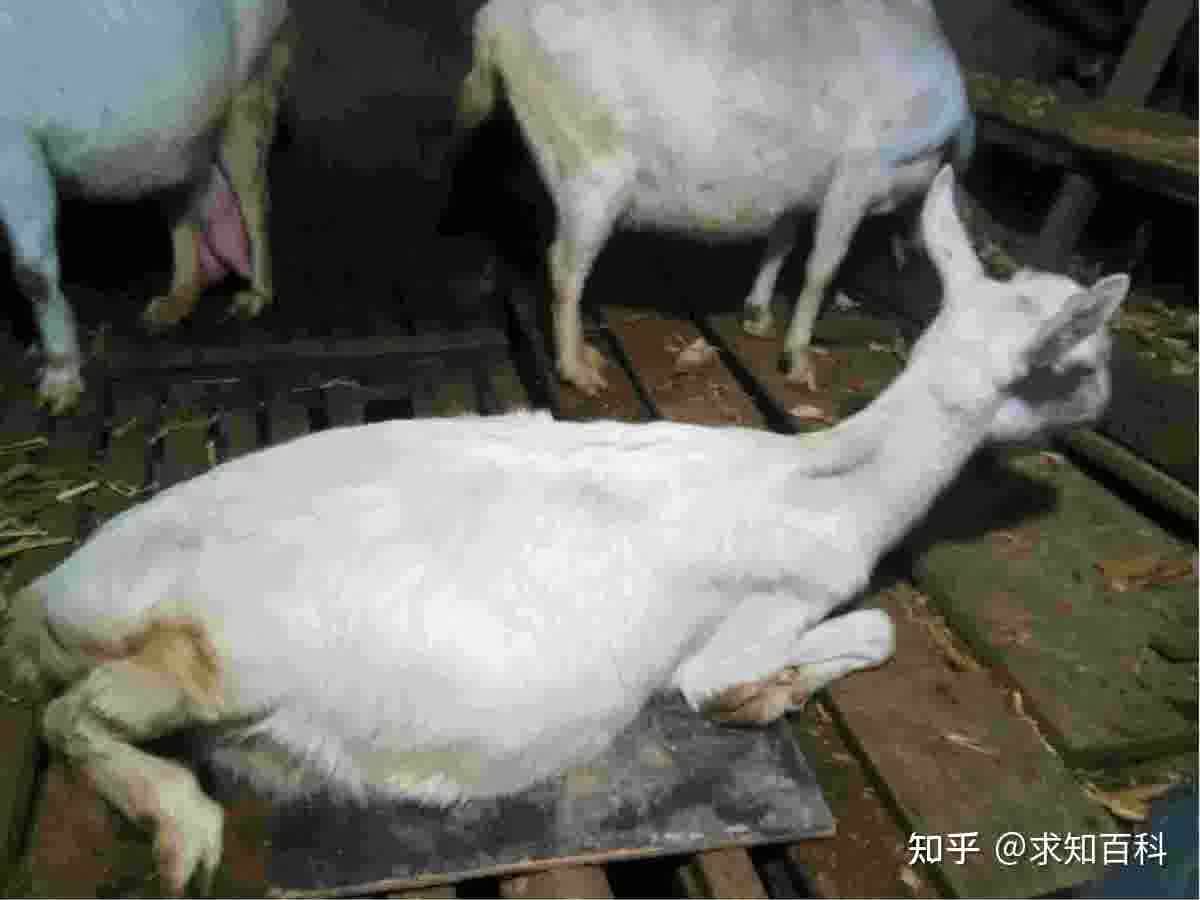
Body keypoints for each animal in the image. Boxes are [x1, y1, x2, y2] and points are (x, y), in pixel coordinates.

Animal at [0, 0, 290, 414]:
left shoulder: (16, 141)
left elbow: (32, 274)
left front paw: (59, 386)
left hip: (254, 78)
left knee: (253, 194)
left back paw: (255, 297)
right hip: (187, 132)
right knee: (188, 192)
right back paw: (171, 304)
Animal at [1, 166, 1127, 897]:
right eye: (1081, 360)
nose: (1102, 411)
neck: (829, 484)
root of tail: (54, 597)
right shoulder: (759, 614)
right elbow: (824, 648)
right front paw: (771, 695)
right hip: (214, 660)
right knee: (75, 715)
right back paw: (183, 833)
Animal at [455, 0, 975, 395]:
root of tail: (495, 17)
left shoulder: (797, 187)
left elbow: (782, 240)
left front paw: (757, 314)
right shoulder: (857, 174)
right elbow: (820, 270)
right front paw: (798, 360)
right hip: (593, 170)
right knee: (564, 266)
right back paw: (579, 369)